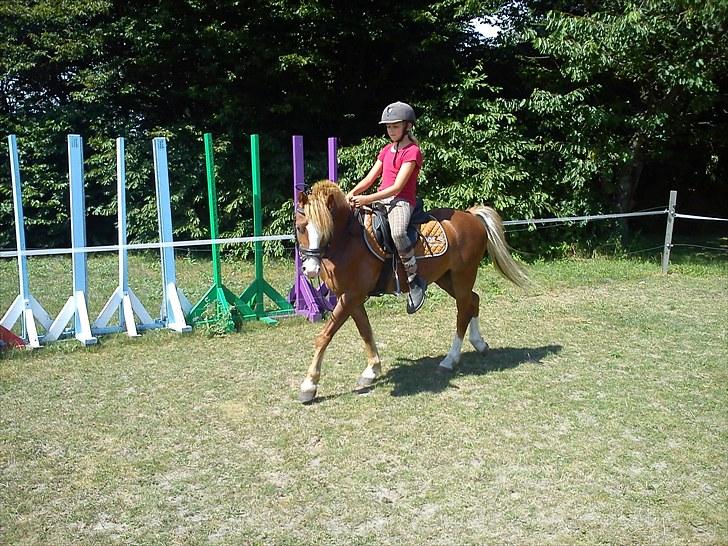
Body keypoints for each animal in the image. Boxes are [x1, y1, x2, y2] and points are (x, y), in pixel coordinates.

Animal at [296, 178, 528, 400]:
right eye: (300, 227)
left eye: (327, 228)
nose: (310, 269)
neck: (349, 240)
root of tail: (470, 216)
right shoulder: (350, 297)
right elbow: (365, 331)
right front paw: (372, 370)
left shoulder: (352, 295)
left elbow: (324, 336)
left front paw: (309, 386)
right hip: (446, 278)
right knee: (473, 300)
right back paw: (479, 344)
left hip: (464, 274)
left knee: (463, 311)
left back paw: (450, 360)